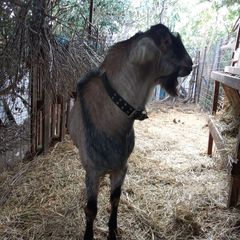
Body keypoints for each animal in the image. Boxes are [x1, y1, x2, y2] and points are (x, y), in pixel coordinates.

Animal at [68, 23, 192, 240]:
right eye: (166, 40)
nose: (190, 64)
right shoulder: (93, 171)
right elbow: (91, 209)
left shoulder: (121, 166)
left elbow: (115, 199)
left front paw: (113, 231)